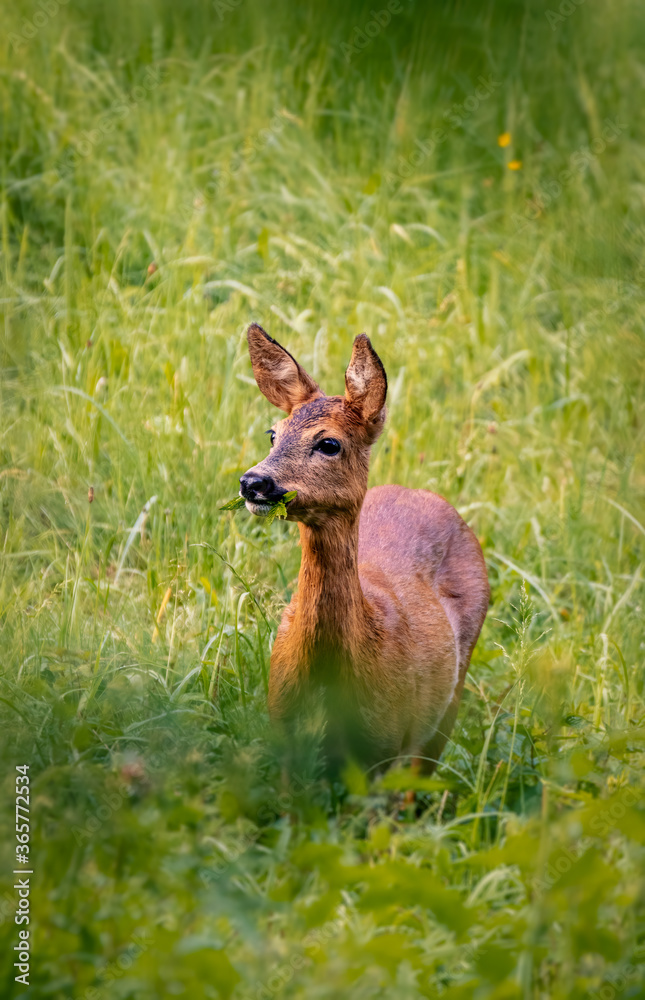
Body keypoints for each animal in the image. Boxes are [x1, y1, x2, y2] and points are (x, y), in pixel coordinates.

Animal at [239, 323, 489, 775]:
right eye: (273, 434)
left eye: (329, 444)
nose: (253, 482)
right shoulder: (283, 730)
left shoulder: (381, 745)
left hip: (447, 702)